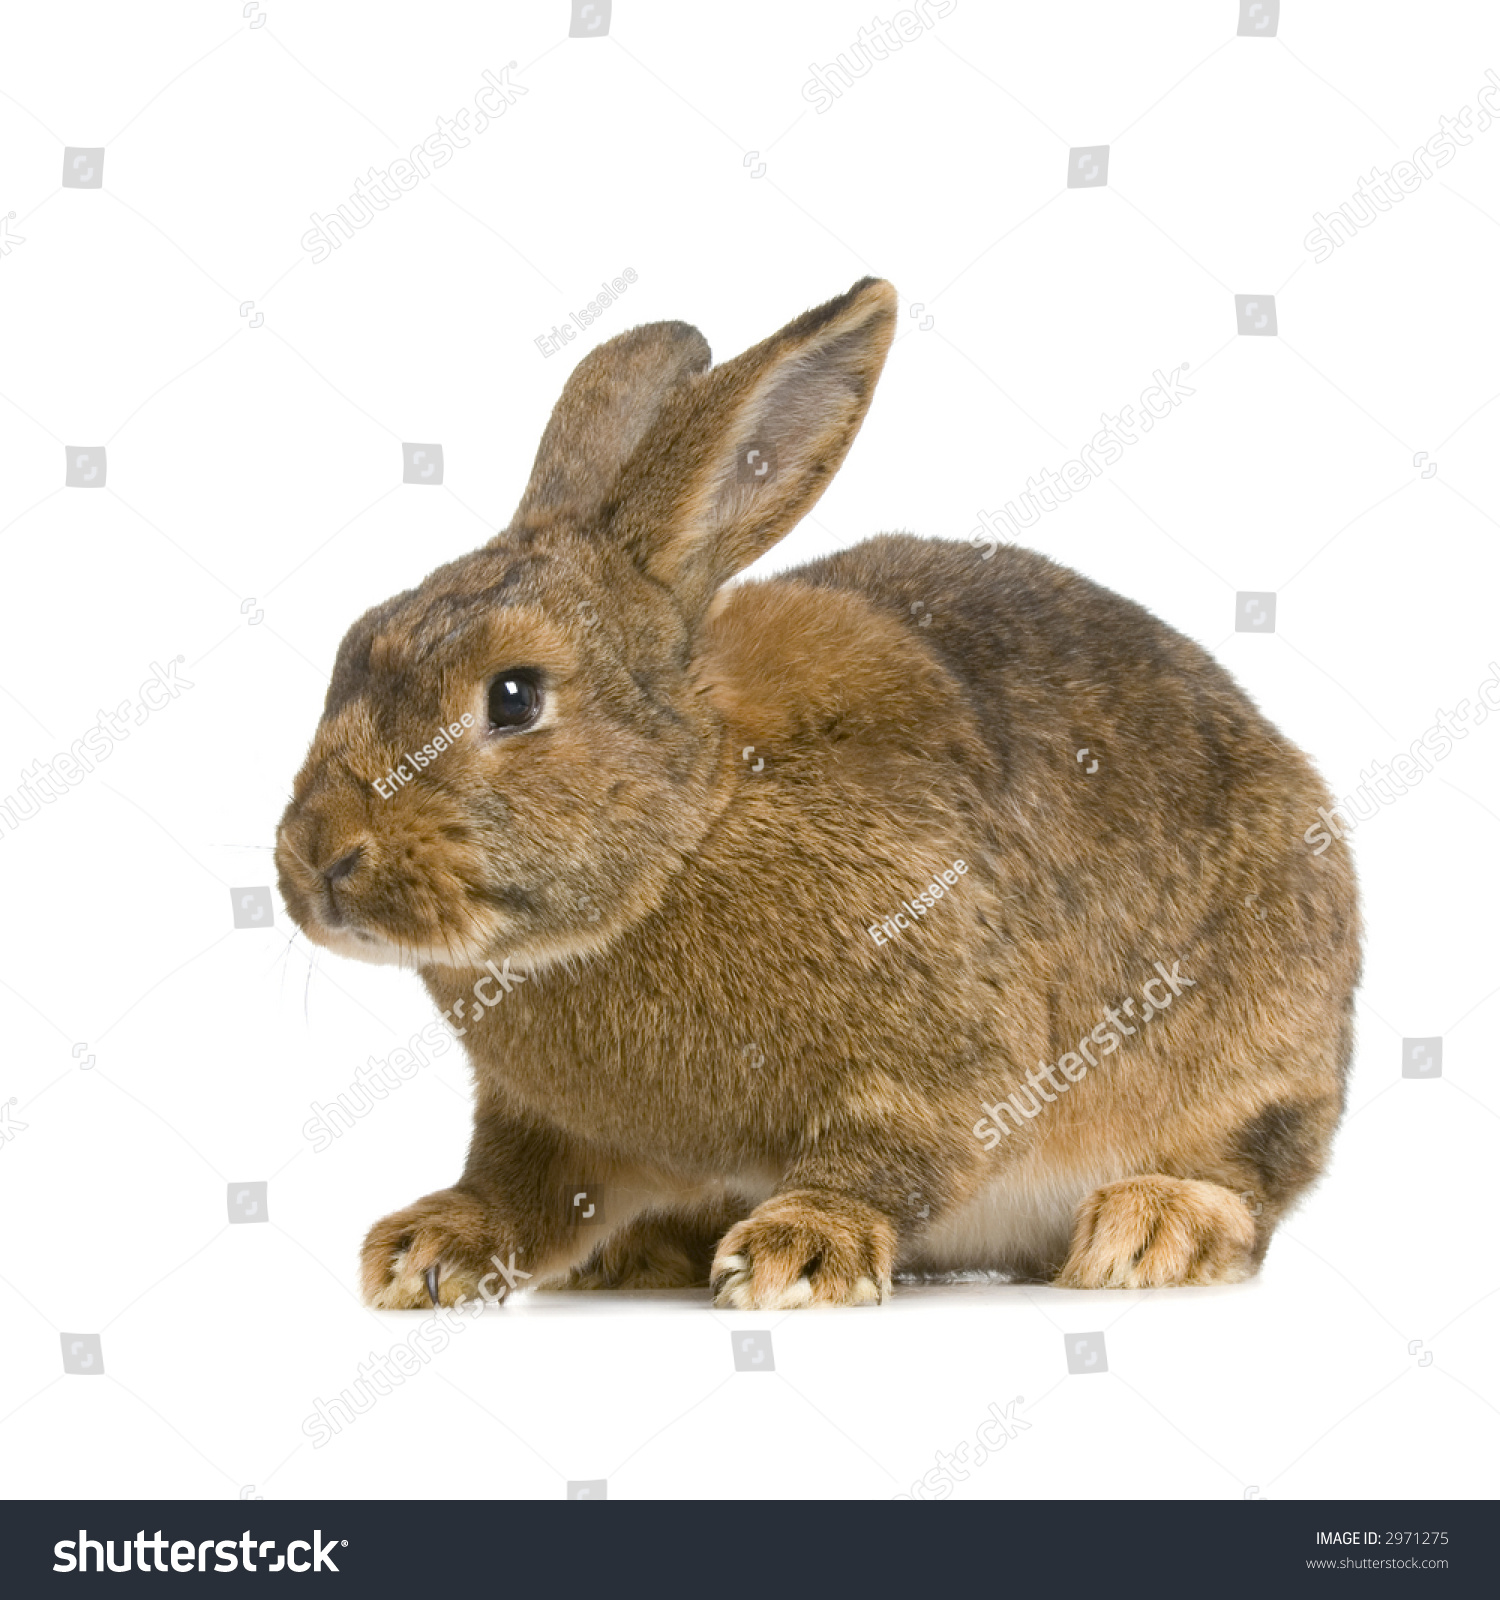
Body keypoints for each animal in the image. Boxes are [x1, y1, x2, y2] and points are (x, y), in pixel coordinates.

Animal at [271, 275, 1356, 1305]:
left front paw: (799, 1252)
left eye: (513, 696)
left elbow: (881, 1161)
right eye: (351, 643)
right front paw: (425, 1250)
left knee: (1243, 1184)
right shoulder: (540, 1125)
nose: (318, 857)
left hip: (1256, 1060)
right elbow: (516, 1187)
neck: (696, 824)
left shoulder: (941, 1060)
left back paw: (1147, 1231)